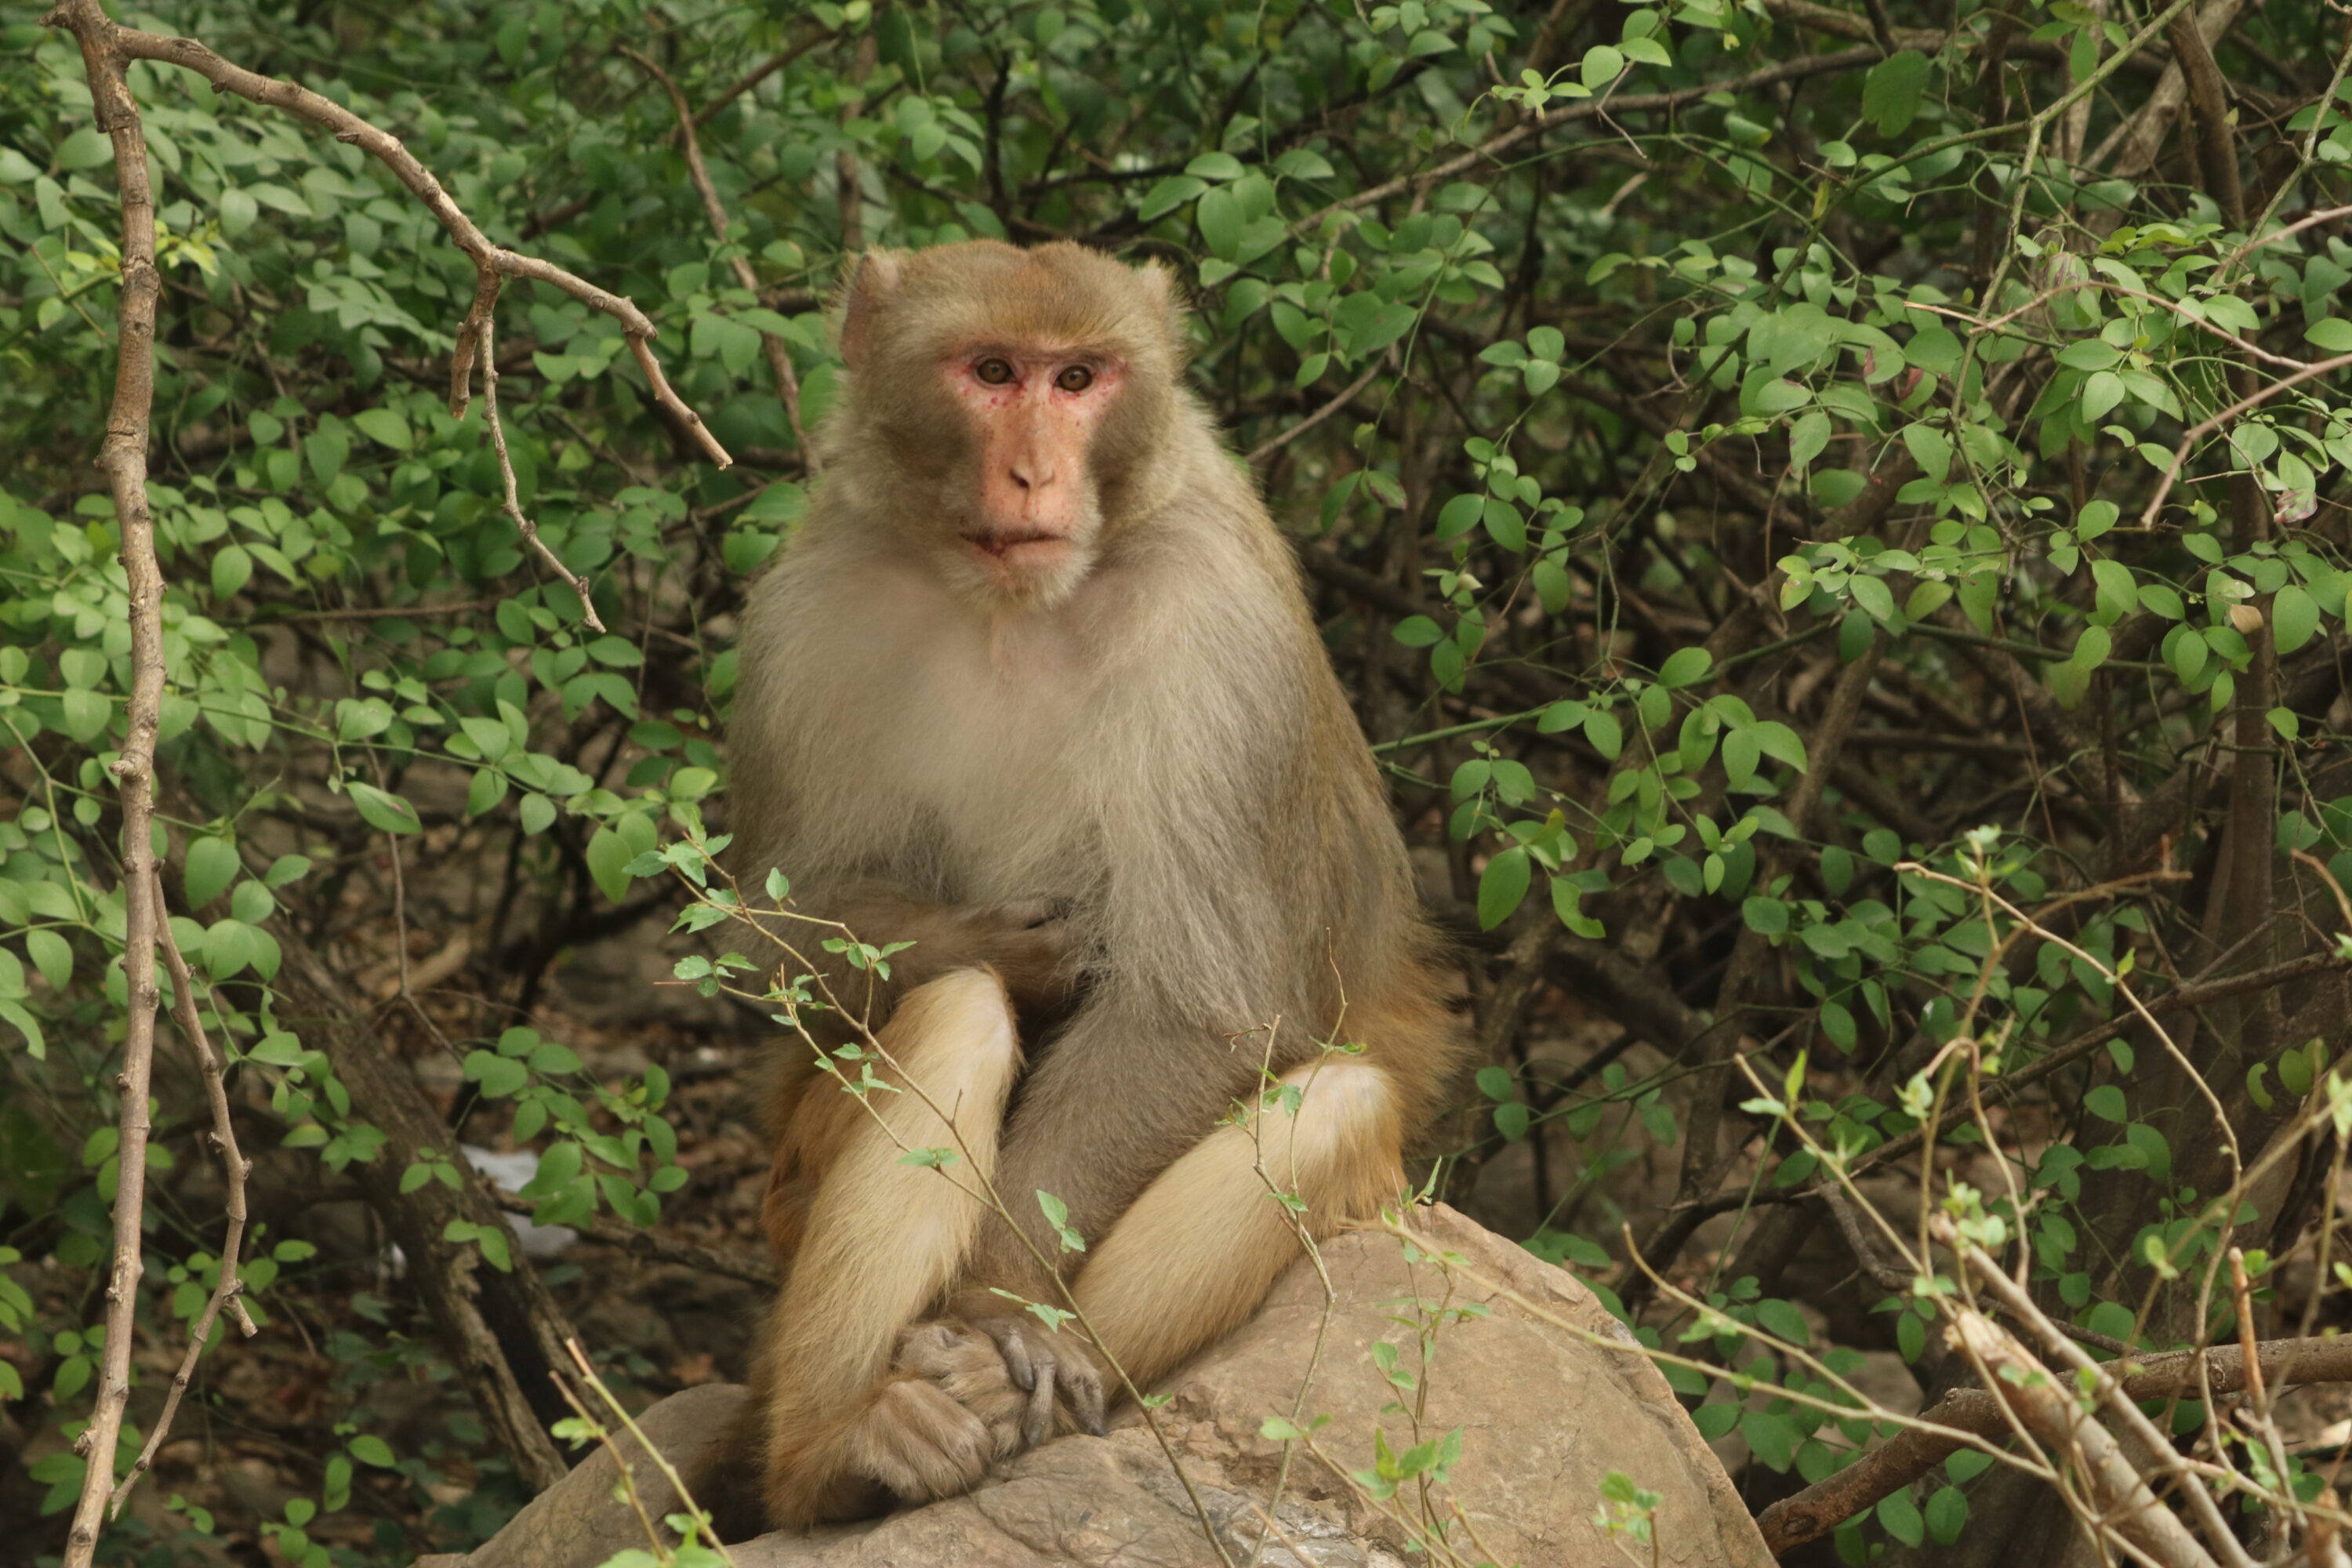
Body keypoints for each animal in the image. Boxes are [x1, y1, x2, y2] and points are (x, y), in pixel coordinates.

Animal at [713, 240, 1468, 1535]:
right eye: (992, 371)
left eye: (1079, 379)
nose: (1032, 473)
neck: (1014, 609)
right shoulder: (810, 607)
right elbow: (777, 934)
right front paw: (1016, 949)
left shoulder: (1216, 634)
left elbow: (1194, 1013)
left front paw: (999, 1310)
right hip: (786, 1195)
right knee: (956, 1015)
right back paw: (832, 1454)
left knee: (1335, 1107)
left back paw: (994, 1367)